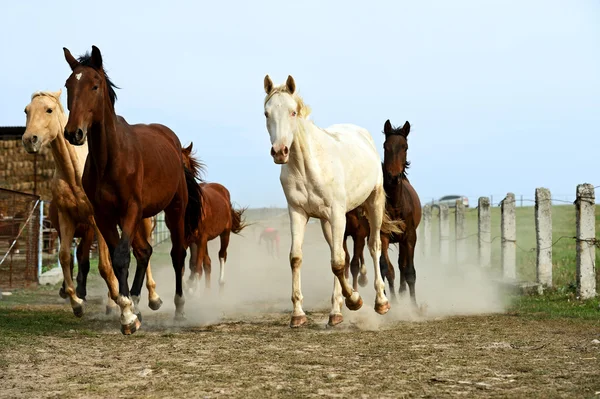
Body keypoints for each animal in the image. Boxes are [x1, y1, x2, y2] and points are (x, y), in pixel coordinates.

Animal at [22, 90, 162, 316]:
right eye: (27, 110)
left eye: (48, 110)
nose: (29, 140)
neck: (73, 174)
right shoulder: (67, 219)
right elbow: (66, 258)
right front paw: (77, 302)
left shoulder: (95, 222)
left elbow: (105, 265)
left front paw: (117, 301)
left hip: (142, 222)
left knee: (144, 252)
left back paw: (152, 297)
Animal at [63, 45, 203, 336]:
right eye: (68, 84)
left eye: (95, 85)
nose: (73, 133)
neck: (111, 159)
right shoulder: (104, 216)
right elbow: (119, 258)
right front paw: (128, 310)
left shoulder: (130, 209)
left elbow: (120, 256)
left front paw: (127, 316)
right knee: (145, 251)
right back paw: (139, 302)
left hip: (174, 209)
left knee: (177, 254)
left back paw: (179, 308)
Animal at [182, 143, 250, 290]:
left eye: (184, 163)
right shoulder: (185, 240)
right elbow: (186, 266)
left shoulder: (201, 238)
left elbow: (197, 267)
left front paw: (194, 291)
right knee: (207, 263)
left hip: (224, 233)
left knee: (222, 255)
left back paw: (220, 283)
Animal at [262, 75, 404, 328]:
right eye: (266, 113)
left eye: (292, 112)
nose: (280, 151)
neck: (307, 166)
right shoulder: (298, 213)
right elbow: (297, 258)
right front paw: (298, 314)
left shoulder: (338, 214)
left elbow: (338, 263)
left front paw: (355, 301)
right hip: (327, 222)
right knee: (340, 254)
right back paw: (335, 312)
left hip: (373, 203)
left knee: (373, 246)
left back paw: (380, 302)